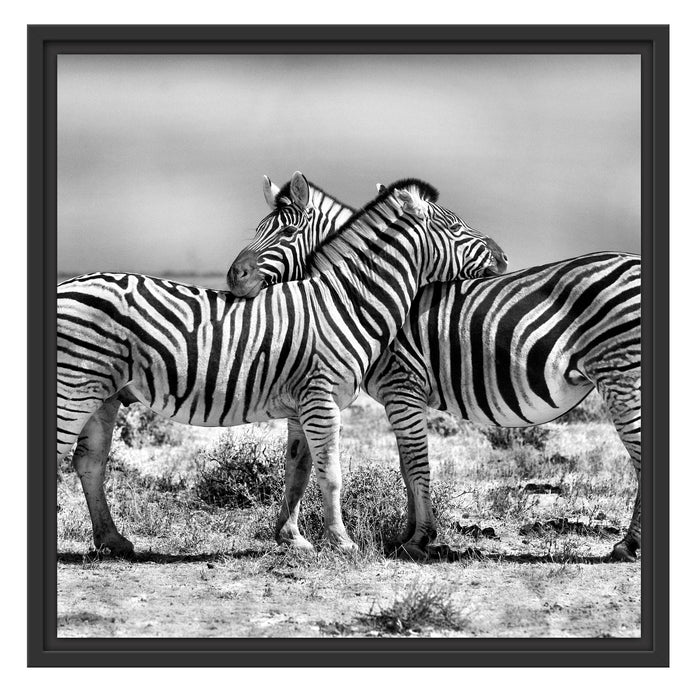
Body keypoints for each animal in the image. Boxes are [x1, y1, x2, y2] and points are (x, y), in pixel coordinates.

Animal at [57, 174, 503, 555]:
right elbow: (331, 474)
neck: (345, 302)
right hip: (74, 388)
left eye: (286, 232)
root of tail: (67, 284)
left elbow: (298, 470)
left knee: (89, 462)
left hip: (104, 395)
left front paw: (293, 539)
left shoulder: (303, 404)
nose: (501, 256)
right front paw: (342, 543)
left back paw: (113, 541)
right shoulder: (322, 400)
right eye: (457, 228)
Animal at [228, 179, 641, 563]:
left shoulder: (402, 386)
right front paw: (407, 534)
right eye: (258, 228)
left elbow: (415, 464)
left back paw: (628, 546)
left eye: (286, 232)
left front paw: (419, 539)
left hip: (620, 374)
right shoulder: (400, 397)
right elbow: (405, 465)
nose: (234, 277)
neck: (357, 295)